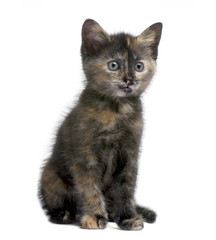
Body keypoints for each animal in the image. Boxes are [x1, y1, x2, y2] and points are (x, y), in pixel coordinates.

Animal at [38, 19, 162, 231]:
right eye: (113, 65)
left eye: (139, 66)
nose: (129, 80)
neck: (116, 111)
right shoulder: (85, 154)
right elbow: (89, 187)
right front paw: (94, 216)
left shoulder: (129, 154)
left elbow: (126, 189)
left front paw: (128, 217)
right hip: (50, 176)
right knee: (55, 202)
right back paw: (65, 214)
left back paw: (132, 212)